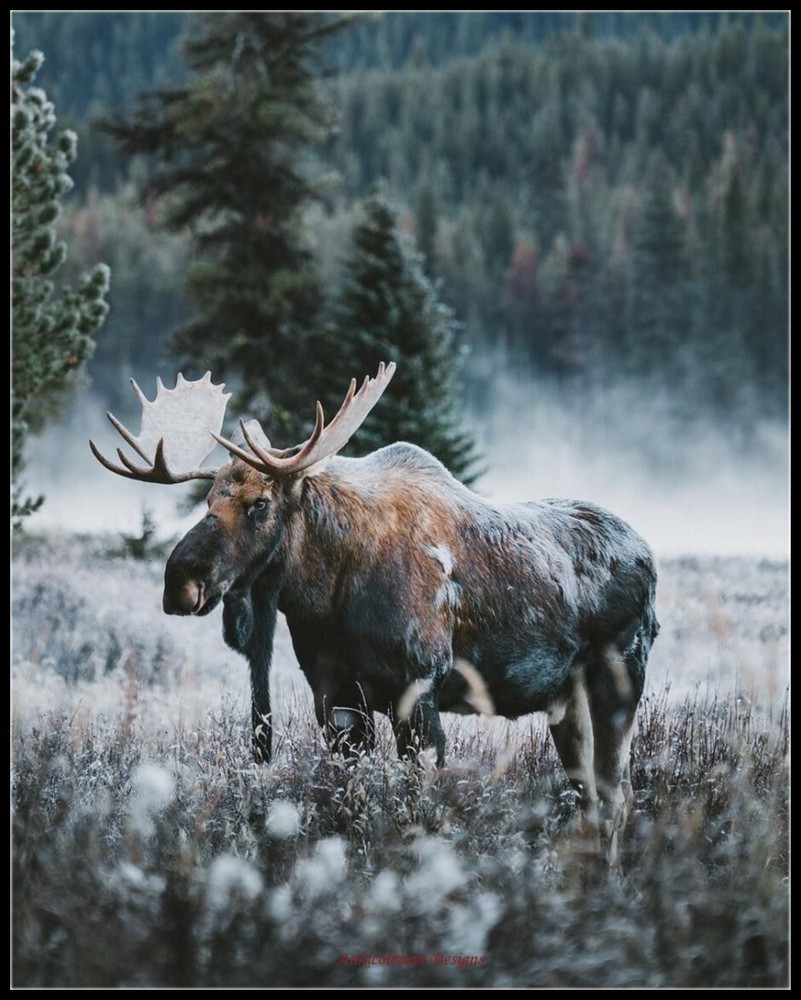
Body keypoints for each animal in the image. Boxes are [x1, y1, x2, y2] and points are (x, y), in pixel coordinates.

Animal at [90, 364, 659, 861]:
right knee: (590, 798)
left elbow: (418, 810)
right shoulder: (337, 699)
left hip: (620, 675)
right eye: (209, 499)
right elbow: (349, 807)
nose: (179, 582)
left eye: (259, 503)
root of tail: (648, 554)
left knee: (617, 795)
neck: (326, 596)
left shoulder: (419, 688)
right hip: (565, 698)